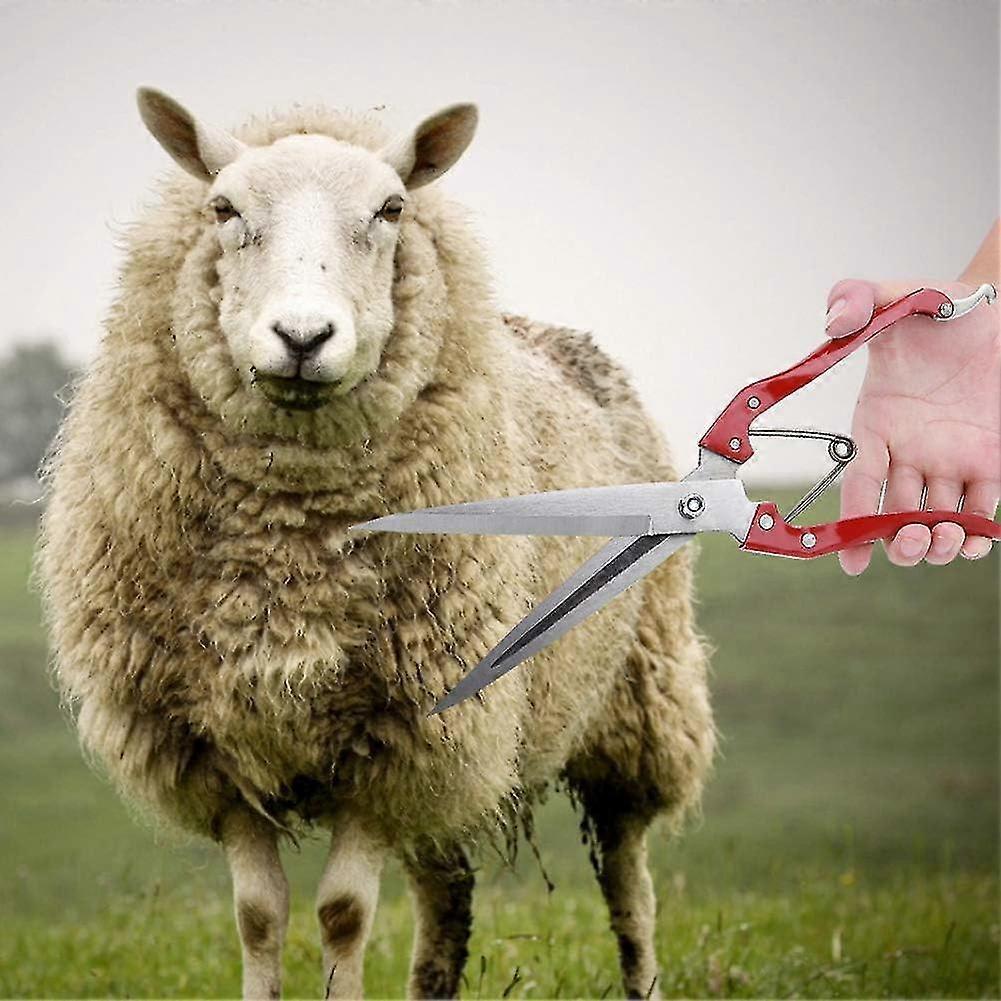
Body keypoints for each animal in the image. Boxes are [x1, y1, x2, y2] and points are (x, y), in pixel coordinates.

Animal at [35, 87, 715, 1000]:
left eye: (391, 209)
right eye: (223, 209)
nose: (302, 337)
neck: (288, 543)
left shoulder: (395, 735)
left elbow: (343, 913)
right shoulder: (215, 740)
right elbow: (258, 915)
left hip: (633, 700)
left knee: (626, 877)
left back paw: (642, 971)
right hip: (465, 751)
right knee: (446, 890)